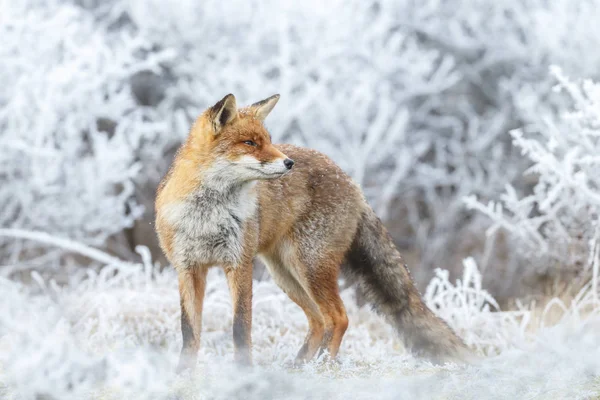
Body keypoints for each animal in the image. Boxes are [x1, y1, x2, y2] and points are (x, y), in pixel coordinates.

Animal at [155, 94, 474, 372]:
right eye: (250, 143)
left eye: (268, 141)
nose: (288, 163)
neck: (207, 215)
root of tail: (351, 181)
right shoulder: (187, 268)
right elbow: (189, 331)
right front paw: (183, 375)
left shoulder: (239, 264)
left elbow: (240, 326)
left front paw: (243, 372)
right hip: (286, 274)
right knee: (319, 321)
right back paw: (300, 367)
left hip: (309, 266)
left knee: (339, 318)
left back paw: (322, 368)